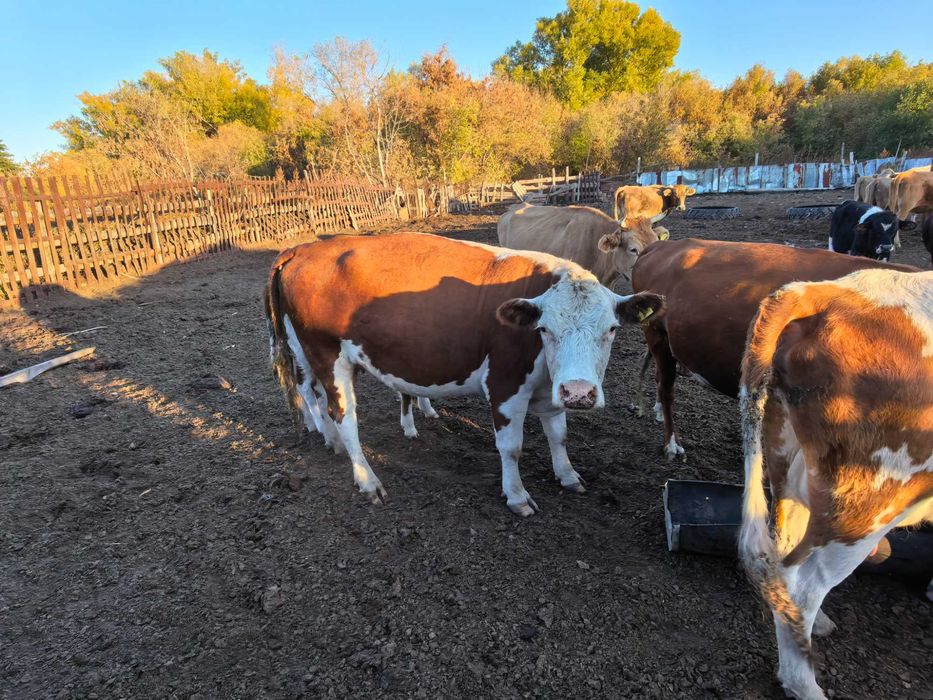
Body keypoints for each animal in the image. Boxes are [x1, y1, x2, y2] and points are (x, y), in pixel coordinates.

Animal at [264, 232, 665, 515]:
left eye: (611, 329)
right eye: (545, 329)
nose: (579, 392)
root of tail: (302, 249)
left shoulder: (551, 390)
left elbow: (559, 436)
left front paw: (567, 475)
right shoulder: (504, 386)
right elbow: (511, 447)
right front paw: (516, 495)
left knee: (318, 398)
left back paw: (332, 442)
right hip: (326, 354)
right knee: (342, 414)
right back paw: (366, 479)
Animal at [739, 268, 933, 700]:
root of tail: (813, 291)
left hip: (788, 464)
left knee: (783, 558)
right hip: (868, 503)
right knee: (803, 586)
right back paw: (804, 683)